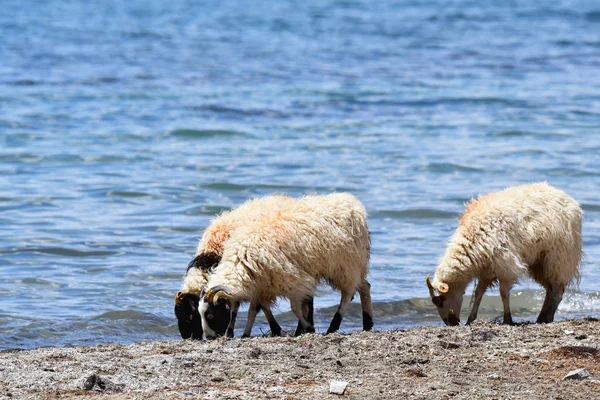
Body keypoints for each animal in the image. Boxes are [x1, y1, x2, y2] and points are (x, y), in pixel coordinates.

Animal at [199, 192, 372, 340]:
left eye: (211, 315)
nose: (209, 337)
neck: (242, 260)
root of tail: (352, 204)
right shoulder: (262, 285)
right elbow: (254, 310)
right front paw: (248, 333)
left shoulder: (293, 281)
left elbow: (295, 307)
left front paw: (307, 328)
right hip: (351, 265)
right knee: (364, 286)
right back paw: (367, 324)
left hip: (345, 265)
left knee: (348, 294)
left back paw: (333, 327)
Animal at [426, 183, 580, 326]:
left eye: (440, 300)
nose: (450, 323)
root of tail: (567, 197)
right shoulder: (486, 269)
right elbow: (478, 294)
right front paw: (470, 319)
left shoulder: (506, 267)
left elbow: (504, 294)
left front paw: (507, 319)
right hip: (540, 263)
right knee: (550, 290)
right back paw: (542, 317)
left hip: (559, 258)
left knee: (557, 291)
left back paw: (547, 317)